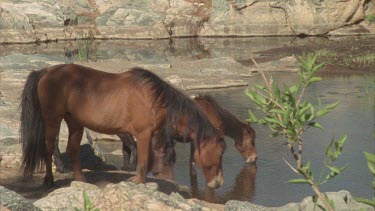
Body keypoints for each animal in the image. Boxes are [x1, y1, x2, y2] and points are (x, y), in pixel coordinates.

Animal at [19, 64, 226, 188]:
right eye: (219, 153)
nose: (218, 183)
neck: (156, 101)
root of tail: (46, 71)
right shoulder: (143, 135)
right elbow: (142, 161)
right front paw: (138, 181)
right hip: (53, 120)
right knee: (48, 148)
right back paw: (49, 180)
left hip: (75, 123)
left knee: (72, 150)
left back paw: (81, 181)